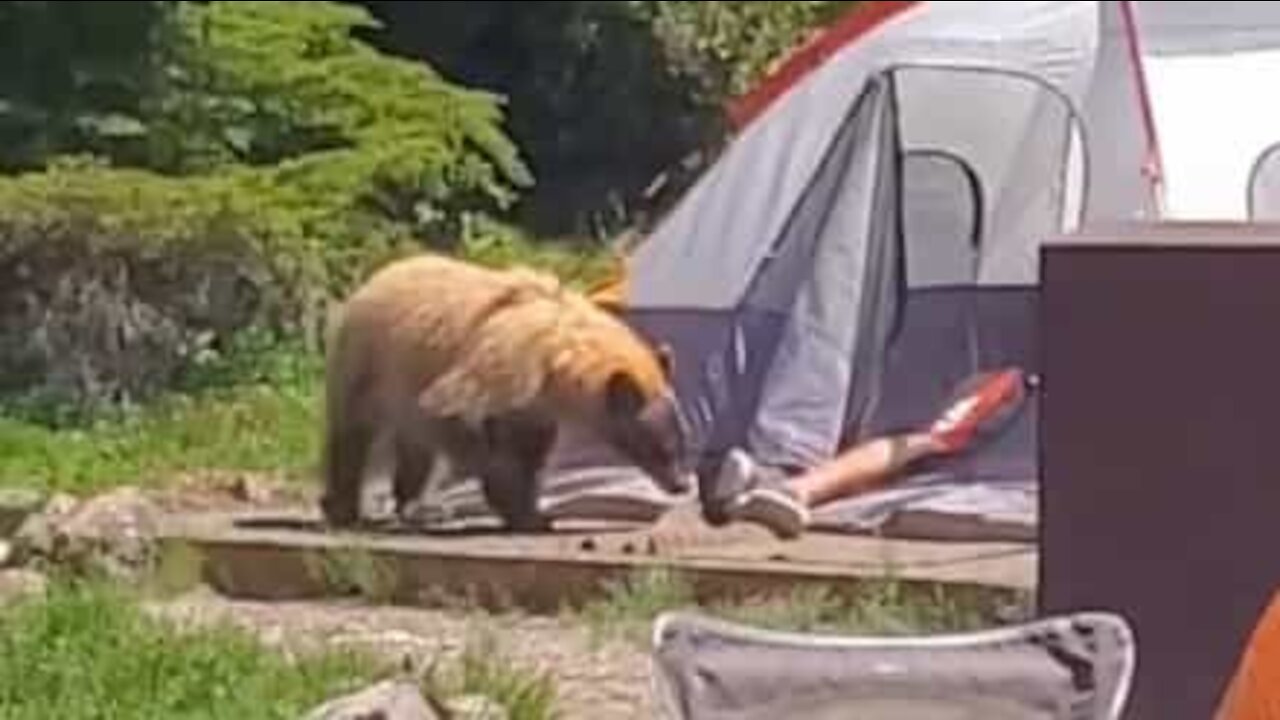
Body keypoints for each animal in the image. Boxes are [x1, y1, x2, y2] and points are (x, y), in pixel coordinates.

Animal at [325, 251, 696, 527]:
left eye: (682, 439)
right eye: (659, 445)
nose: (680, 484)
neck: (556, 360)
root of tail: (378, 276)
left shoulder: (535, 408)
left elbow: (531, 449)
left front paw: (533, 512)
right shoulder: (502, 371)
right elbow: (474, 431)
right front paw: (518, 506)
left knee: (416, 447)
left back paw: (419, 506)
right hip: (369, 362)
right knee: (353, 434)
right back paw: (344, 508)